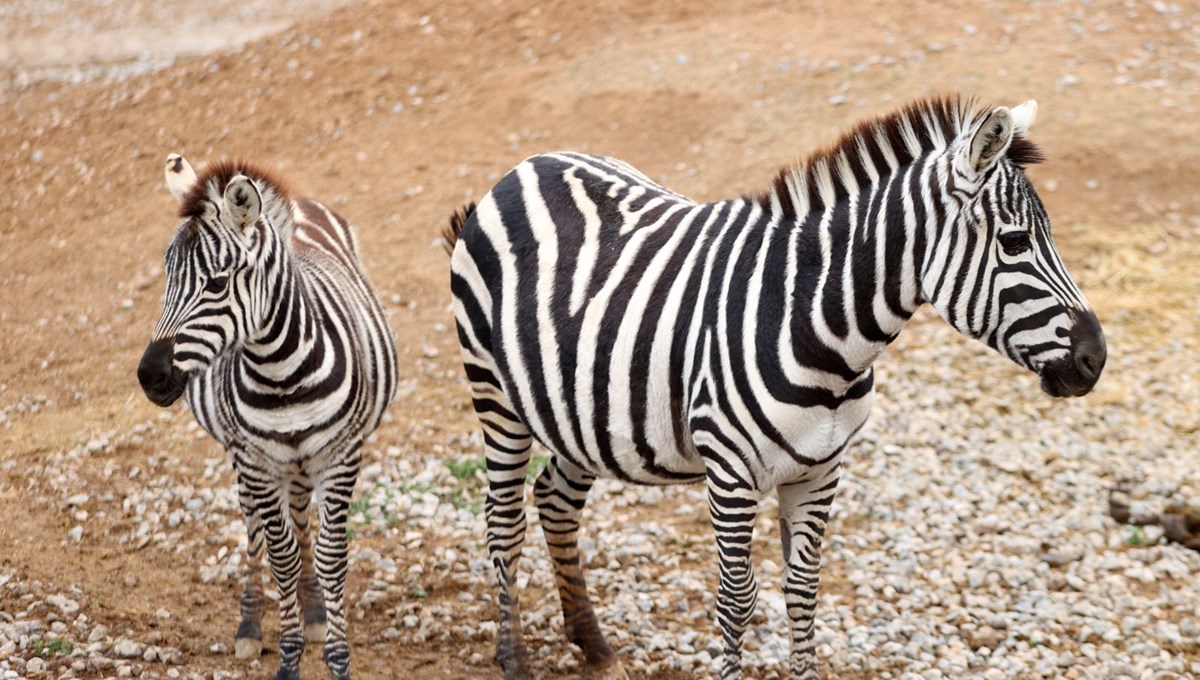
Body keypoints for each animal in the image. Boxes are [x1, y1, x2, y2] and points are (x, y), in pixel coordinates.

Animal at [136, 155, 398, 680]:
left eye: (216, 283)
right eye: (166, 280)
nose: (150, 376)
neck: (282, 375)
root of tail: (299, 204)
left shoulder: (341, 457)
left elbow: (330, 558)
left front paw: (337, 658)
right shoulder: (257, 461)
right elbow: (281, 559)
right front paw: (288, 657)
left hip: (300, 464)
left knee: (300, 520)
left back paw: (315, 612)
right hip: (248, 460)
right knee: (257, 526)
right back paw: (252, 624)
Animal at [448, 97, 1104, 680]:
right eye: (1015, 243)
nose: (1096, 358)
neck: (821, 332)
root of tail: (526, 166)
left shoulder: (821, 469)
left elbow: (803, 589)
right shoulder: (730, 474)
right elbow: (737, 600)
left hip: (579, 412)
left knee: (555, 501)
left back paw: (594, 646)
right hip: (496, 397)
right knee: (502, 522)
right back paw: (513, 660)